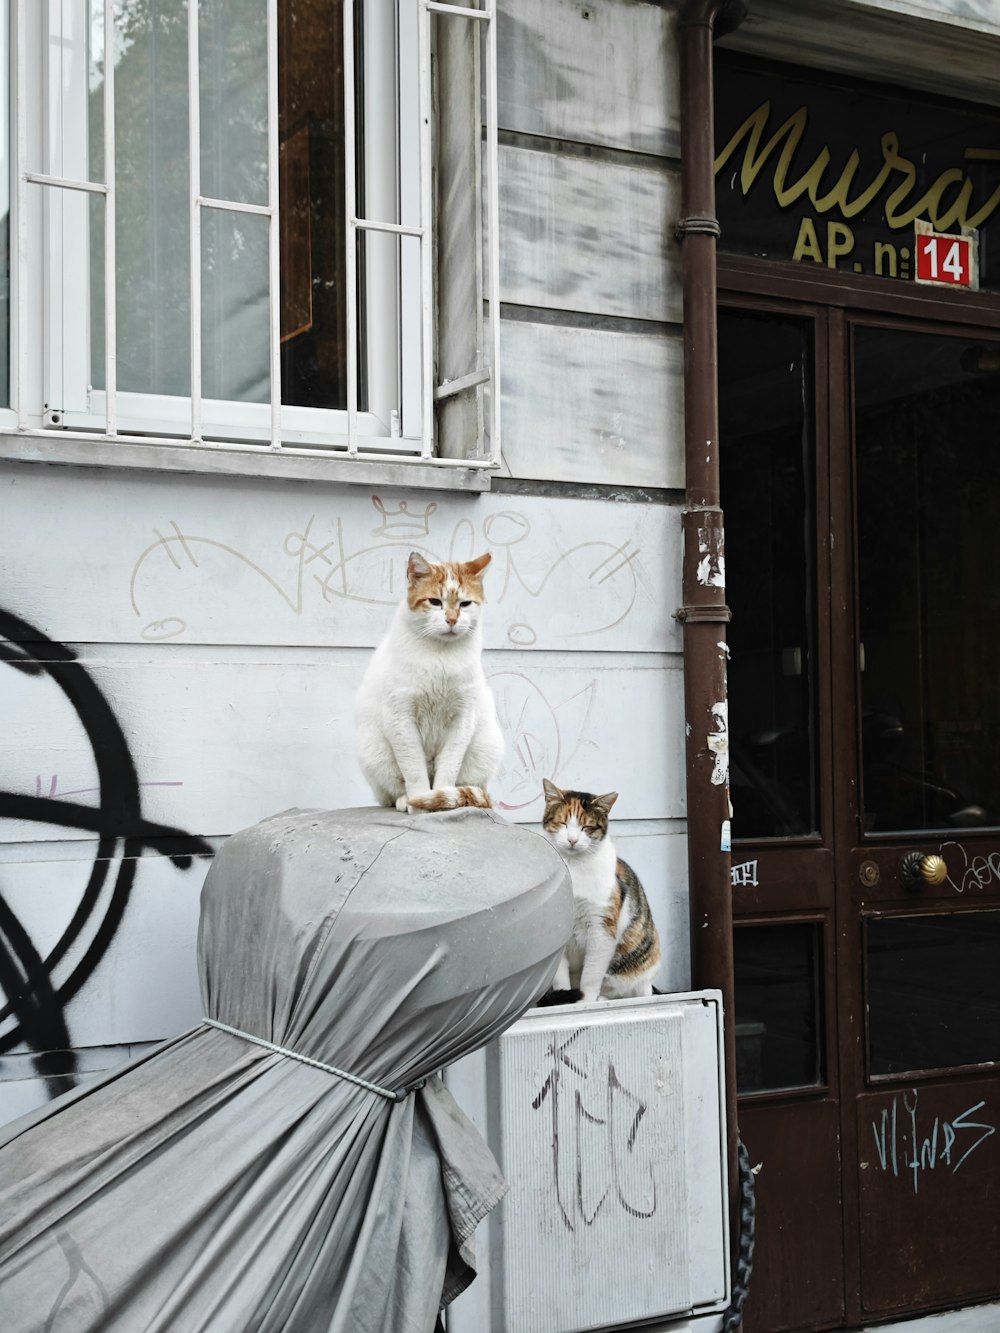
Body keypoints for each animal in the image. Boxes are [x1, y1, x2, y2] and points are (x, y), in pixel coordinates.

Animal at [357, 549, 504, 810]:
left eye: (465, 603)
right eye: (435, 602)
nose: (452, 619)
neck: (440, 657)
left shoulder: (462, 719)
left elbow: (449, 767)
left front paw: (440, 799)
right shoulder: (401, 719)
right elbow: (413, 768)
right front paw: (418, 801)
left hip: (485, 748)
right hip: (375, 754)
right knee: (390, 794)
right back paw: (404, 800)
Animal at [544, 778, 661, 1002]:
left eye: (586, 827)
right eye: (563, 823)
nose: (572, 840)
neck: (574, 866)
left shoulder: (602, 927)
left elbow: (591, 975)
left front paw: (586, 1000)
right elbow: (560, 975)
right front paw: (565, 998)